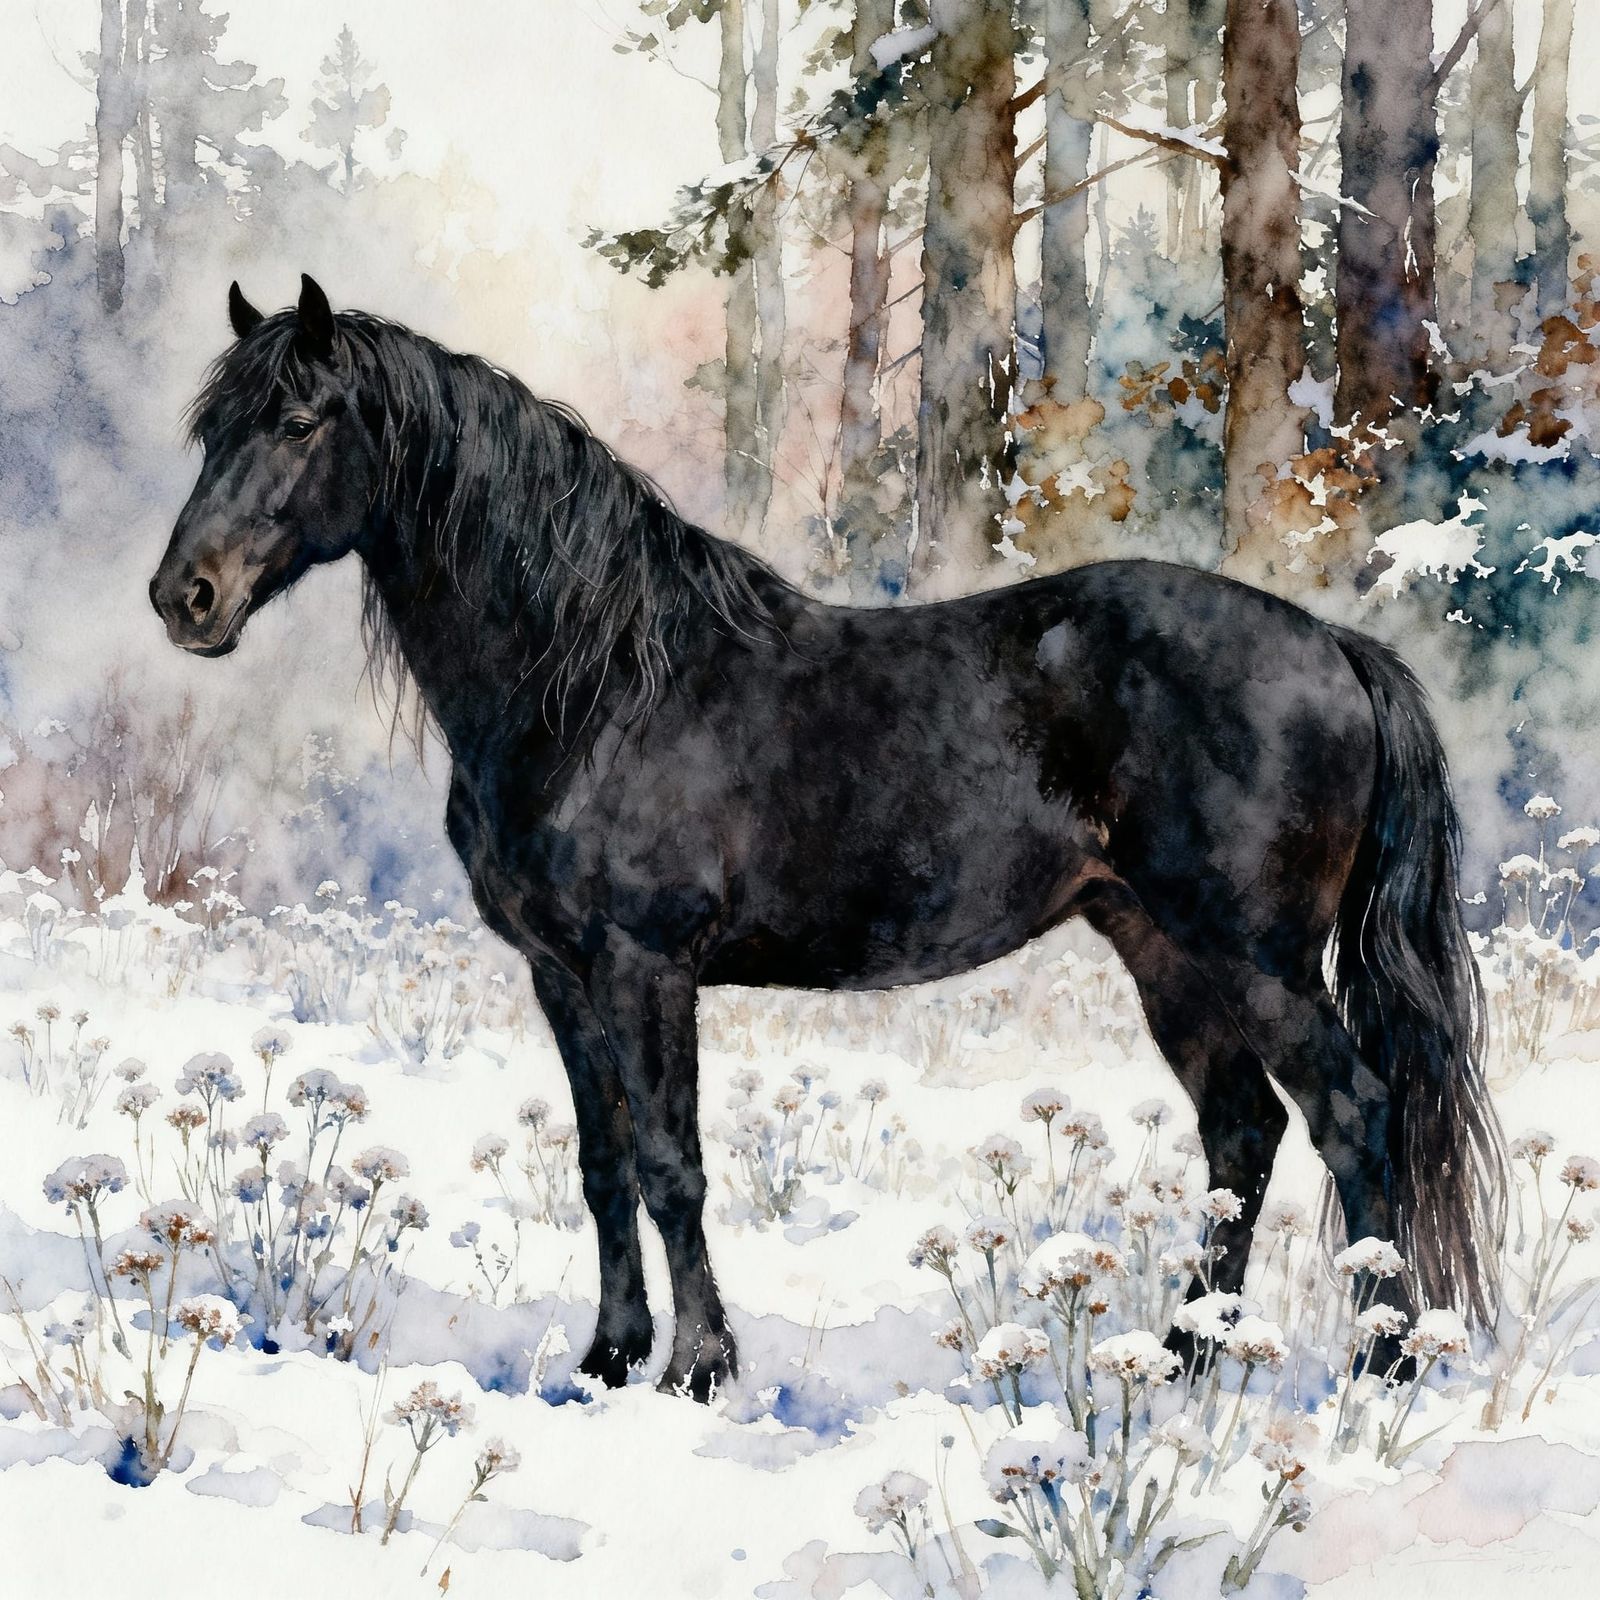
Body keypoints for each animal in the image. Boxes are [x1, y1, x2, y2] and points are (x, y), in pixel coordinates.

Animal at [150, 276, 1506, 1400]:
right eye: (212, 430)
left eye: (302, 420)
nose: (184, 598)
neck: (592, 684)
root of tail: (1333, 647)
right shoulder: (560, 975)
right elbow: (601, 1166)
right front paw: (607, 1357)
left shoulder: (645, 967)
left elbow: (671, 1164)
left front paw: (698, 1369)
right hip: (1163, 951)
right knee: (1243, 1134)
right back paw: (1182, 1356)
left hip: (1257, 959)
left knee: (1355, 1115)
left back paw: (1379, 1363)